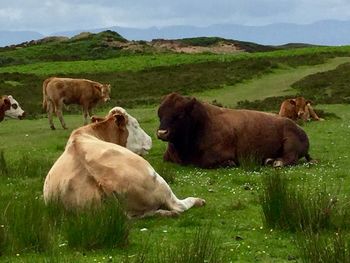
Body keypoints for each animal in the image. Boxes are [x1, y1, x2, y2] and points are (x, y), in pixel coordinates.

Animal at [157, 93, 310, 169]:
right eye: (159, 114)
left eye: (179, 115)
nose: (162, 133)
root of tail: (299, 128)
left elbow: (207, 163)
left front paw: (229, 163)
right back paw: (269, 160)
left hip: (290, 145)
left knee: (290, 158)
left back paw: (276, 162)